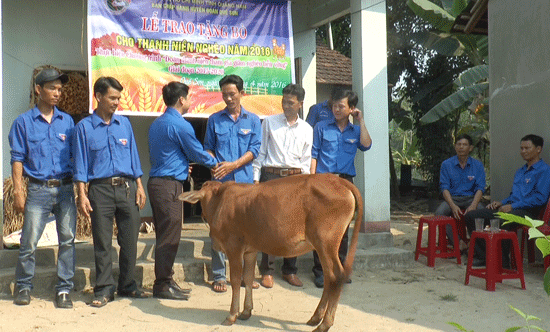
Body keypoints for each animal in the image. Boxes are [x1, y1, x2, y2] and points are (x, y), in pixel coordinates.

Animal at [179, 172, 364, 330]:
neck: (218, 202)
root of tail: (338, 180)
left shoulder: (234, 248)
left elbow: (237, 280)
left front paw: (232, 315)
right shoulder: (250, 250)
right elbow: (248, 278)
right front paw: (246, 312)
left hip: (326, 243)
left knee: (335, 276)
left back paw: (324, 324)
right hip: (322, 247)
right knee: (328, 277)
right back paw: (315, 318)